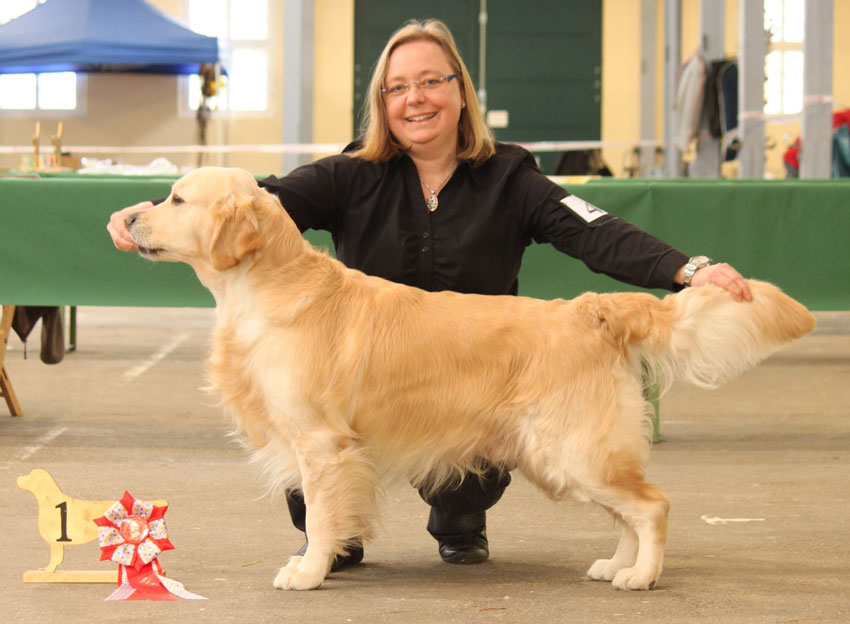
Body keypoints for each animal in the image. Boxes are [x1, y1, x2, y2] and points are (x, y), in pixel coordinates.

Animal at [124, 166, 816, 588]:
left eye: (176, 199)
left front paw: (309, 572)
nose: (126, 219)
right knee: (628, 513)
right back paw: (616, 565)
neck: (266, 288)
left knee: (653, 504)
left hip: (573, 448)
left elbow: (320, 516)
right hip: (569, 456)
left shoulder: (321, 443)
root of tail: (591, 307)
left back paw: (642, 576)